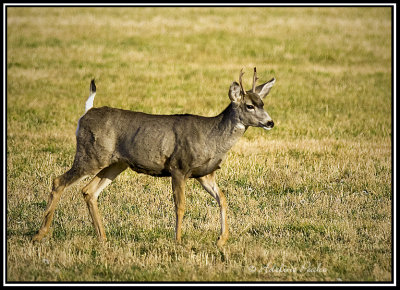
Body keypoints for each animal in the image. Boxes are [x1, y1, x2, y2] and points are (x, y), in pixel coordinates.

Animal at [32, 68, 276, 247]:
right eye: (249, 105)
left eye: (263, 103)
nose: (270, 122)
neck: (211, 138)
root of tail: (85, 114)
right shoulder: (178, 167)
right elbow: (180, 205)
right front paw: (178, 240)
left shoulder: (205, 174)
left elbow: (223, 198)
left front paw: (222, 239)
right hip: (90, 155)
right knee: (58, 181)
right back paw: (40, 234)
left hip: (115, 163)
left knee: (88, 191)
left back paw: (102, 237)